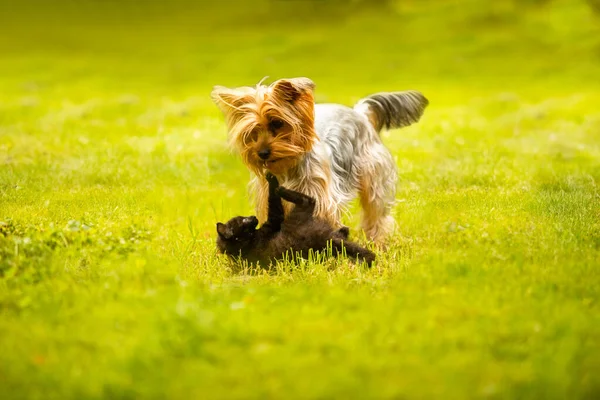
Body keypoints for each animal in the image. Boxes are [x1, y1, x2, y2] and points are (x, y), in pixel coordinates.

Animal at [211, 76, 426, 242]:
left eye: (277, 123)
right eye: (252, 132)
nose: (262, 153)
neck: (287, 165)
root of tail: (359, 113)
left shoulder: (320, 197)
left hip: (374, 175)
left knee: (377, 214)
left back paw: (378, 242)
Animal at [216, 173, 376, 268]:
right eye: (243, 221)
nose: (253, 218)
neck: (245, 246)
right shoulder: (273, 222)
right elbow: (274, 206)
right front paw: (272, 183)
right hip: (316, 230)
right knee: (309, 200)